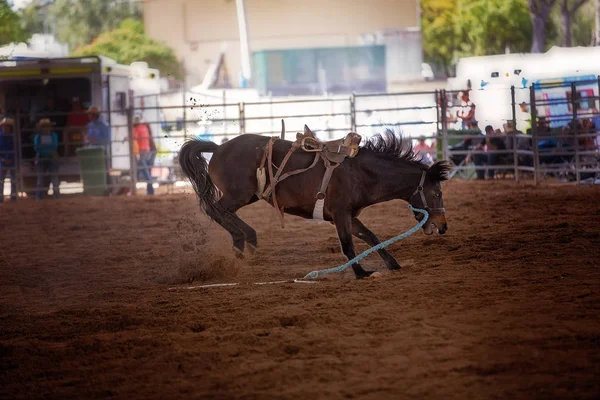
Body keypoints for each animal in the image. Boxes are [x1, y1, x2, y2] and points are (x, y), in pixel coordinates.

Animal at [180, 127, 448, 278]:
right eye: (437, 193)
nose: (443, 226)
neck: (360, 173)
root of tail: (218, 147)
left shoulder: (350, 215)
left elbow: (372, 238)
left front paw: (393, 265)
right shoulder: (340, 214)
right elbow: (348, 245)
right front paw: (361, 273)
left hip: (247, 196)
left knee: (220, 212)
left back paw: (246, 241)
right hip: (239, 195)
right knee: (215, 209)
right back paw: (242, 239)